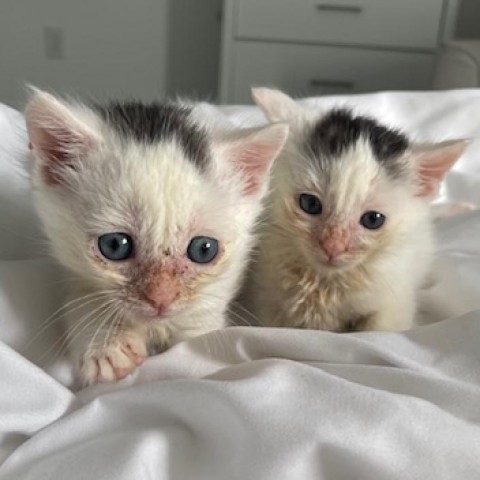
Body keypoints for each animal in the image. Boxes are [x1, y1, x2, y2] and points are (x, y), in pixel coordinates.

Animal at [244, 88, 468, 332]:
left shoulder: (395, 299)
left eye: (373, 219)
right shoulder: (264, 294)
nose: (332, 246)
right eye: (310, 204)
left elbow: (378, 329)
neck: (323, 283)